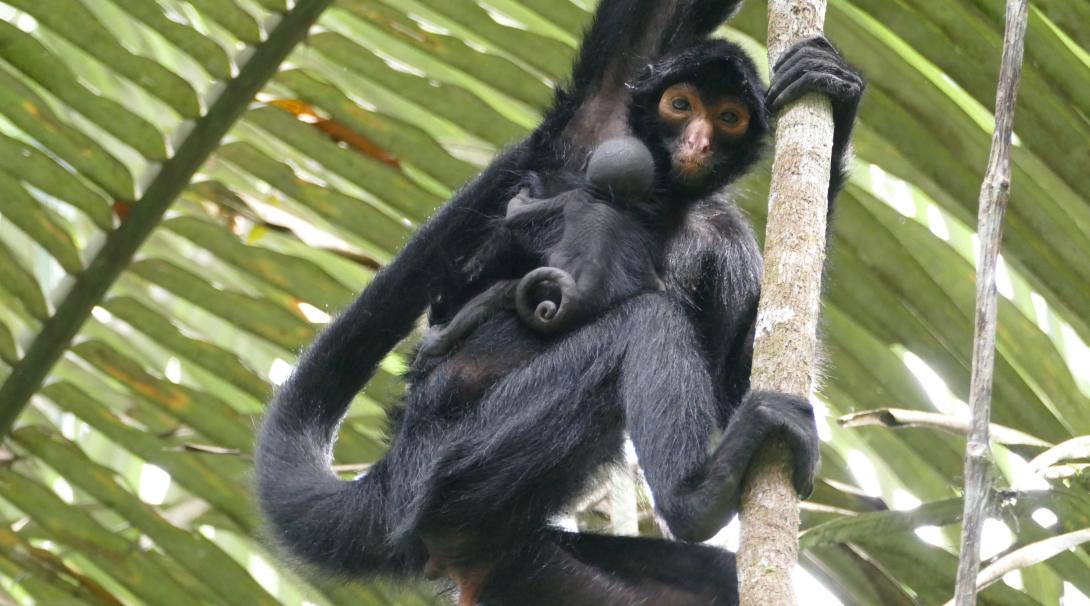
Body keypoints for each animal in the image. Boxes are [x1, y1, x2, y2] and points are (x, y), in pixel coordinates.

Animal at [255, 2, 858, 601]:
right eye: (681, 106)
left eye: (728, 117)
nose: (697, 143)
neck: (663, 206)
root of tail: (394, 474)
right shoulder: (595, 129)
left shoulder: (724, 237)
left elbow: (738, 375)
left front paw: (834, 92)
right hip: (458, 463)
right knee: (646, 319)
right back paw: (698, 500)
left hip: (524, 565)